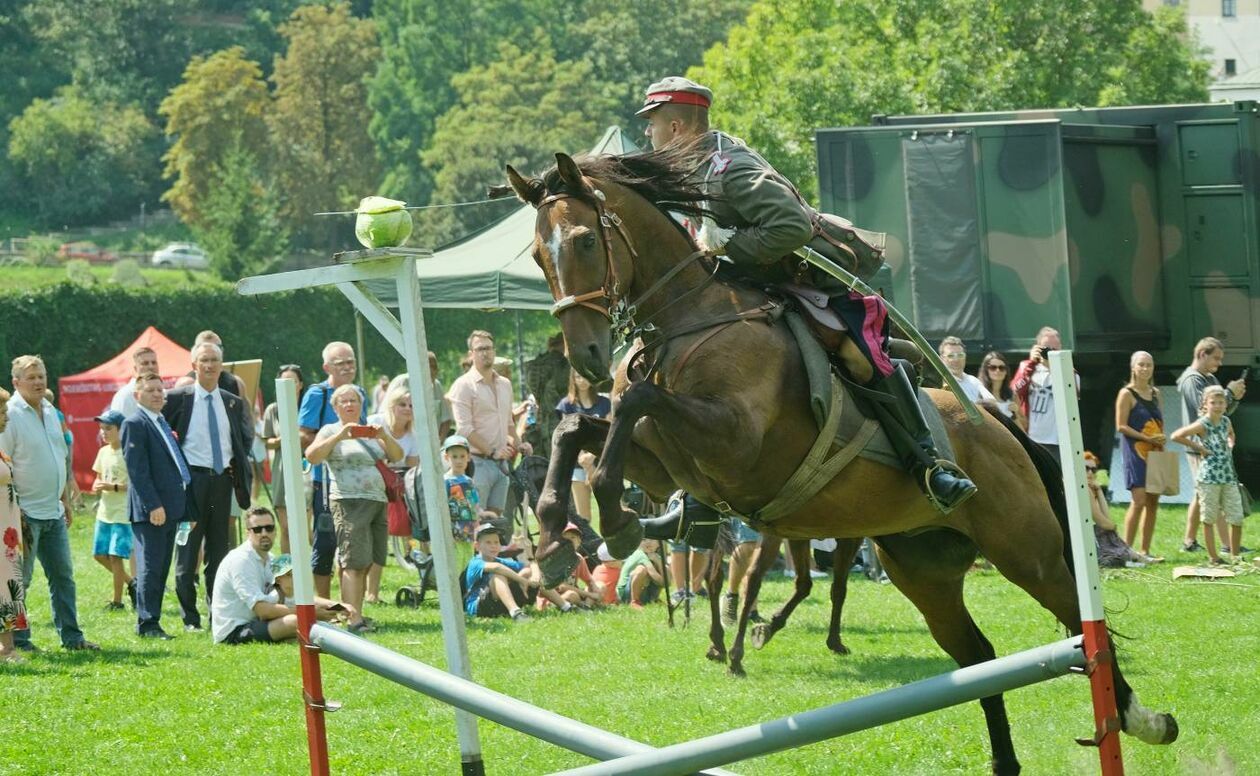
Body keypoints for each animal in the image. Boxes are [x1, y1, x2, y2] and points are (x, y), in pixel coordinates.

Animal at [506, 148, 1174, 770]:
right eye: (538, 255)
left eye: (585, 239)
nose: (588, 357)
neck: (688, 320)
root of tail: (1001, 426)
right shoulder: (666, 462)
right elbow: (577, 428)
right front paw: (558, 538)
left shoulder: (734, 443)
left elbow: (632, 403)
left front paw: (612, 522)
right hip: (923, 571)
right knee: (979, 657)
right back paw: (1009, 760)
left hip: (1026, 553)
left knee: (1082, 624)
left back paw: (1141, 719)